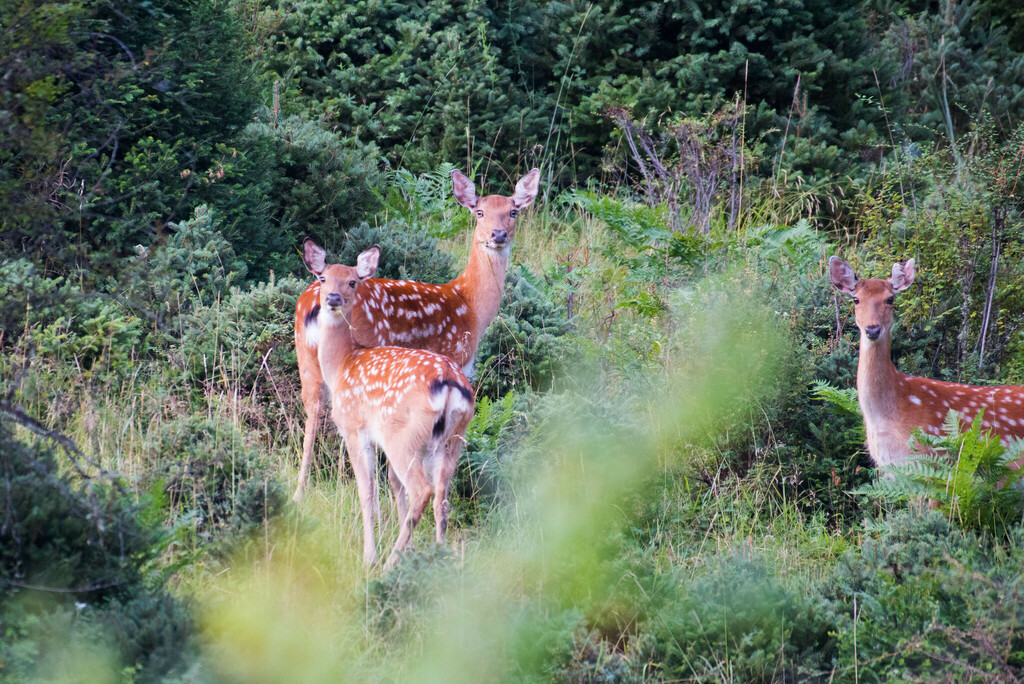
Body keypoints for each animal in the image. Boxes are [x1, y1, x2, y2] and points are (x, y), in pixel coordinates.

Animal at [292, 167, 540, 499]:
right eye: (480, 212)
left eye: (513, 211)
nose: (497, 235)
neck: (470, 305)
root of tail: (310, 303)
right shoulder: (456, 356)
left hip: (305, 358)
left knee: (313, 410)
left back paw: (300, 492)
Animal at [303, 240, 475, 565]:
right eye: (323, 278)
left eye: (352, 282)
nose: (332, 298)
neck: (342, 364)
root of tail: (449, 384)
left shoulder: (354, 428)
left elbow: (367, 491)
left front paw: (368, 555)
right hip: (453, 438)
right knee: (443, 497)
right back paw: (439, 557)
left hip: (401, 435)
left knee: (421, 490)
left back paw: (391, 561)